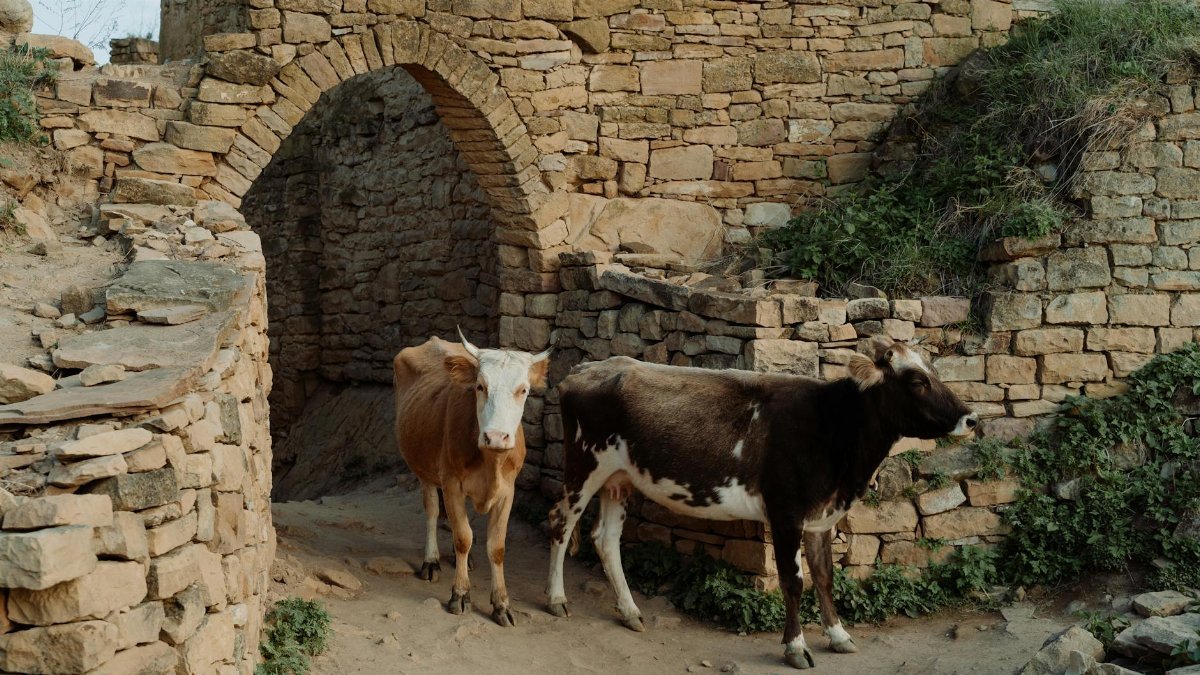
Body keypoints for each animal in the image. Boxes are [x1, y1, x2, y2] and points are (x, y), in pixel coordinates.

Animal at [394, 329, 549, 627]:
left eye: (523, 390)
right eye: (480, 386)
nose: (497, 437)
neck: (491, 463)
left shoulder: (508, 491)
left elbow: (497, 546)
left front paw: (501, 604)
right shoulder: (452, 484)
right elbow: (463, 537)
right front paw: (460, 595)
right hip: (424, 470)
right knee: (432, 511)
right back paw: (431, 561)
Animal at [545, 336, 977, 669]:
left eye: (935, 371)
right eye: (917, 381)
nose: (971, 418)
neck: (834, 429)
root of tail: (585, 368)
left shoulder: (820, 516)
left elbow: (825, 576)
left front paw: (839, 635)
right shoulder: (786, 512)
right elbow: (793, 582)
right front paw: (796, 647)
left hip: (619, 478)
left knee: (605, 538)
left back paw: (631, 612)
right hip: (584, 465)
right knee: (560, 523)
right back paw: (555, 599)